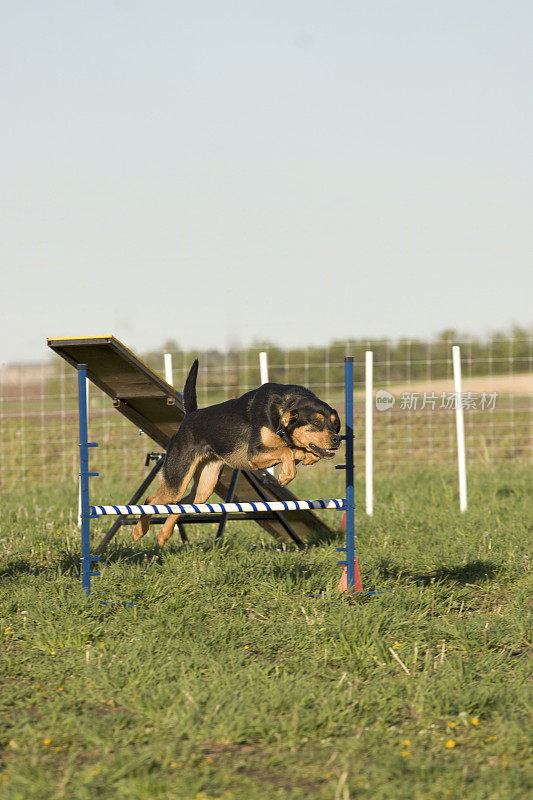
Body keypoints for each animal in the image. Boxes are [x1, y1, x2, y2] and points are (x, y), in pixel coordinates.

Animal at [133, 360, 340, 544]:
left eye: (334, 423)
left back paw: (163, 535)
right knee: (151, 500)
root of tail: (190, 416)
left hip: (205, 487)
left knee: (182, 505)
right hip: (178, 477)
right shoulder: (254, 453)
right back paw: (138, 531)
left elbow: (294, 450)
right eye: (316, 422)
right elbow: (286, 452)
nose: (337, 439)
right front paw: (285, 476)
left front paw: (308, 458)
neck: (283, 409)